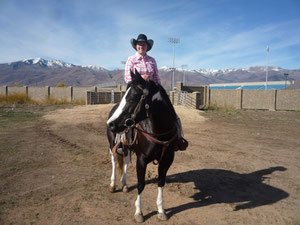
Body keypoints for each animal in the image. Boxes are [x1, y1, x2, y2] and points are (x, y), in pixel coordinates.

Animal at [106, 69, 179, 222]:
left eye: (133, 97)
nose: (111, 124)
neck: (159, 132)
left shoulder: (167, 159)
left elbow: (161, 182)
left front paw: (161, 210)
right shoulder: (142, 159)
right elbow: (141, 184)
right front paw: (139, 212)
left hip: (127, 148)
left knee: (125, 161)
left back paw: (124, 184)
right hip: (112, 145)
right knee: (114, 161)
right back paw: (113, 185)